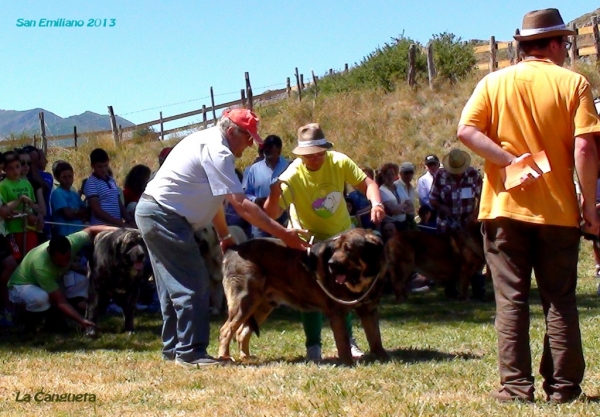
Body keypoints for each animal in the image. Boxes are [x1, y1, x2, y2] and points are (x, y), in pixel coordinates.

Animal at [218, 228, 386, 364]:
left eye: (349, 249)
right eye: (336, 249)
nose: (330, 264)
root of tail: (232, 249)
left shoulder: (369, 310)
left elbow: (375, 335)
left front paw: (381, 355)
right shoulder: (337, 313)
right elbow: (343, 341)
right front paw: (347, 362)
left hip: (261, 307)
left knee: (241, 332)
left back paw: (246, 356)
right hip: (245, 302)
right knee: (226, 330)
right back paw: (225, 357)